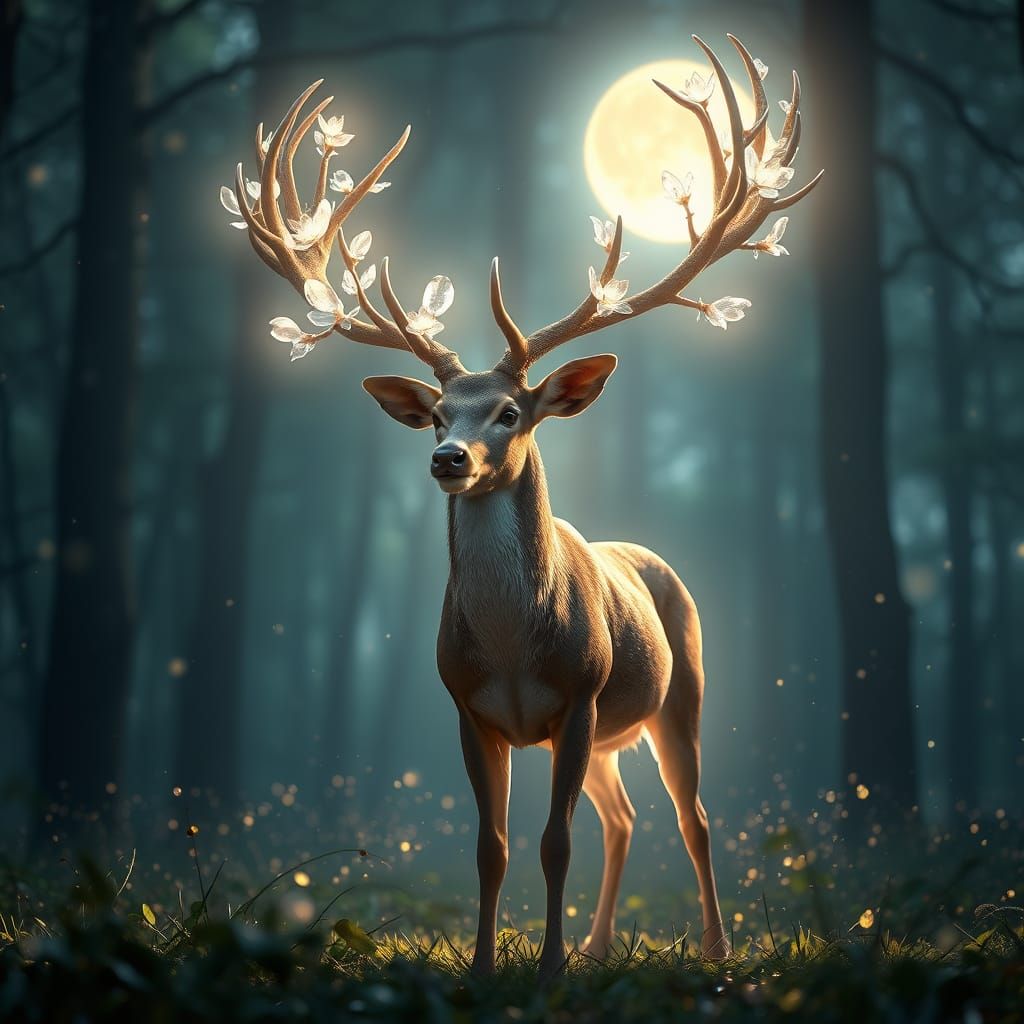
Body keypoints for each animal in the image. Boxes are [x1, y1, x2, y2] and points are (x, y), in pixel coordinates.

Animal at [222, 33, 820, 977]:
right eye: (436, 412)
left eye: (510, 411)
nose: (448, 458)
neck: (510, 647)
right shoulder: (470, 710)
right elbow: (492, 846)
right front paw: (483, 966)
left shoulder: (580, 697)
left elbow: (553, 842)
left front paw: (544, 969)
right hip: (612, 736)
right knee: (625, 817)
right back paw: (604, 946)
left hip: (679, 691)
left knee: (692, 817)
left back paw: (717, 949)